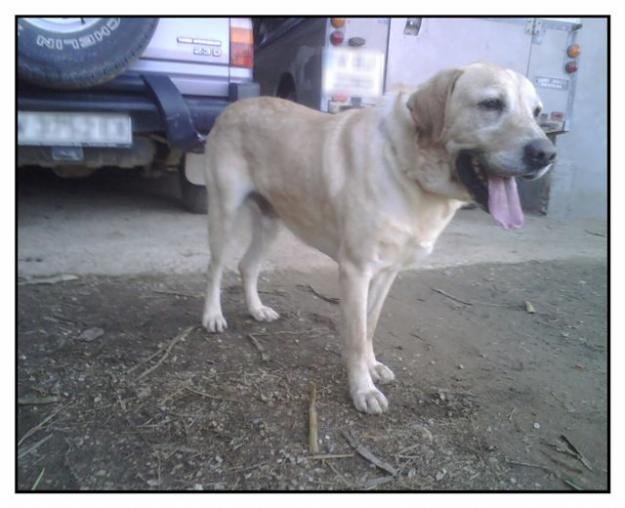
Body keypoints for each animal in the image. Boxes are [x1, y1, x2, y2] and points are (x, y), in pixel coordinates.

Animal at [201, 62, 556, 412]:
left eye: (537, 112)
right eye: (491, 104)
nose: (546, 153)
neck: (409, 169)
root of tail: (233, 107)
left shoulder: (387, 272)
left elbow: (369, 325)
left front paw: (372, 368)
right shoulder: (356, 270)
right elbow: (357, 336)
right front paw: (363, 390)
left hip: (273, 220)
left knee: (247, 266)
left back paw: (256, 309)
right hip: (224, 211)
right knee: (216, 267)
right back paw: (212, 315)